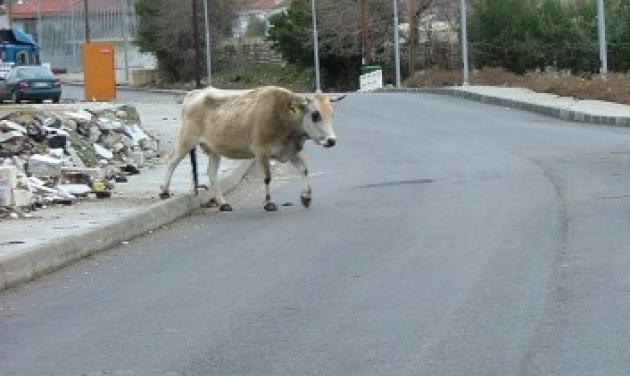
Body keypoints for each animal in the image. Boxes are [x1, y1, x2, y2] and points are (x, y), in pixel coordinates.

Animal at [158, 86, 346, 213]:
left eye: (332, 114)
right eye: (315, 115)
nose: (332, 140)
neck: (284, 116)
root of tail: (195, 93)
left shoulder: (292, 151)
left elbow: (305, 170)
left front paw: (306, 197)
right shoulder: (261, 152)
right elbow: (267, 177)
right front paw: (269, 203)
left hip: (214, 149)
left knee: (211, 173)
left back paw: (223, 203)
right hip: (186, 139)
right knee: (172, 161)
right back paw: (164, 191)